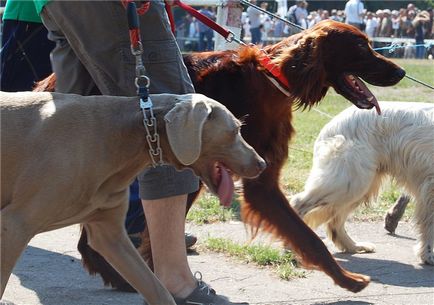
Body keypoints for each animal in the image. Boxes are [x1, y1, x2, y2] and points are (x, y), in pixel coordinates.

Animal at [35, 20, 406, 294]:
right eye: (360, 47)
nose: (400, 73)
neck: (272, 79)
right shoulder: (256, 179)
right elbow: (309, 237)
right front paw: (348, 280)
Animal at [292, 101, 434, 264]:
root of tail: (333, 123)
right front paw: (427, 256)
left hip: (360, 185)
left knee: (335, 222)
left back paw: (354, 246)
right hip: (350, 182)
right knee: (299, 203)